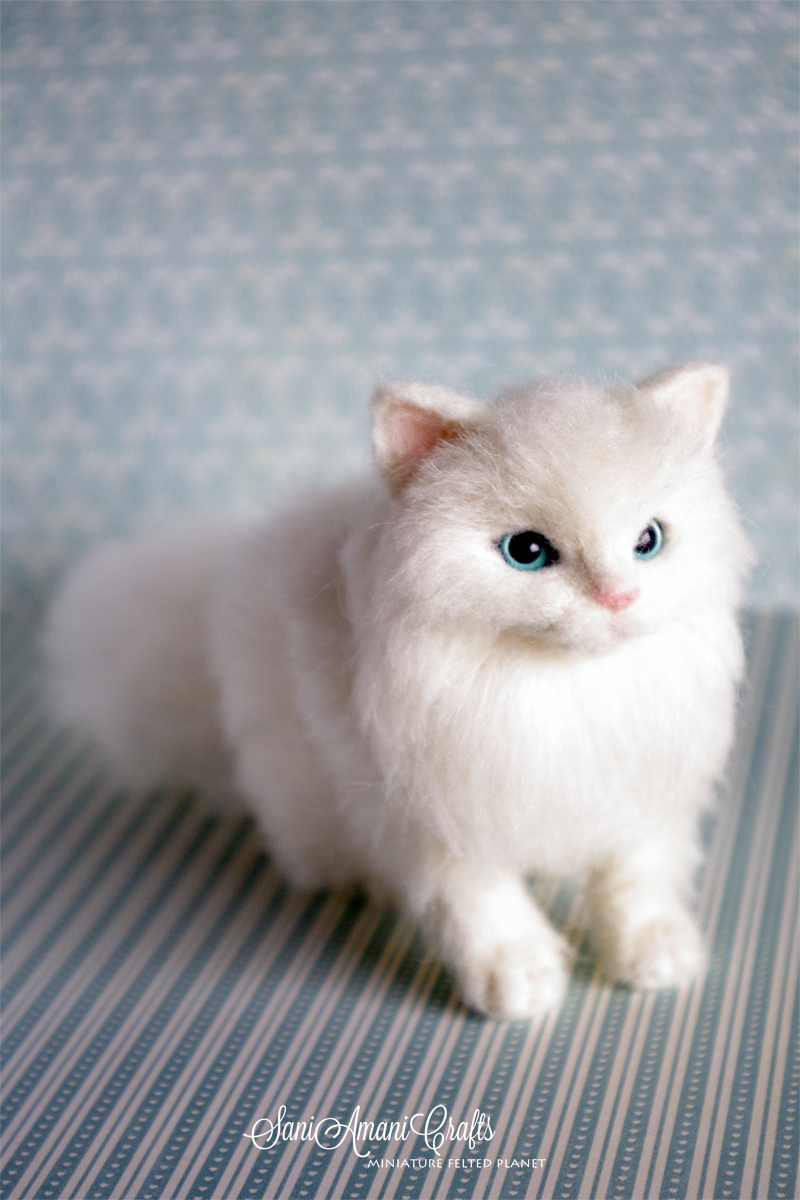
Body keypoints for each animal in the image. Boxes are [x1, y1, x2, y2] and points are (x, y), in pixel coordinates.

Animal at [47, 360, 753, 1017]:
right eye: (526, 552)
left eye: (648, 541)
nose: (618, 596)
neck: (561, 688)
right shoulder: (437, 819)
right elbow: (483, 909)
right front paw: (517, 982)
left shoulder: (641, 793)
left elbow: (636, 884)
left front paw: (659, 956)